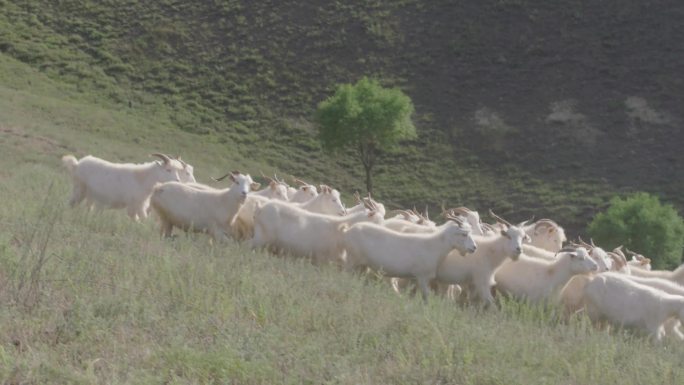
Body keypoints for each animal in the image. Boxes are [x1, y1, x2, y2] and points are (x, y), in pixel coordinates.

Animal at [342, 216, 476, 300]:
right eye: (464, 234)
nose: (474, 247)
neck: (433, 245)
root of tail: (348, 230)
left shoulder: (413, 278)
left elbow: (412, 294)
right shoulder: (422, 277)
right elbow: (426, 297)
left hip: (362, 265)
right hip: (352, 260)